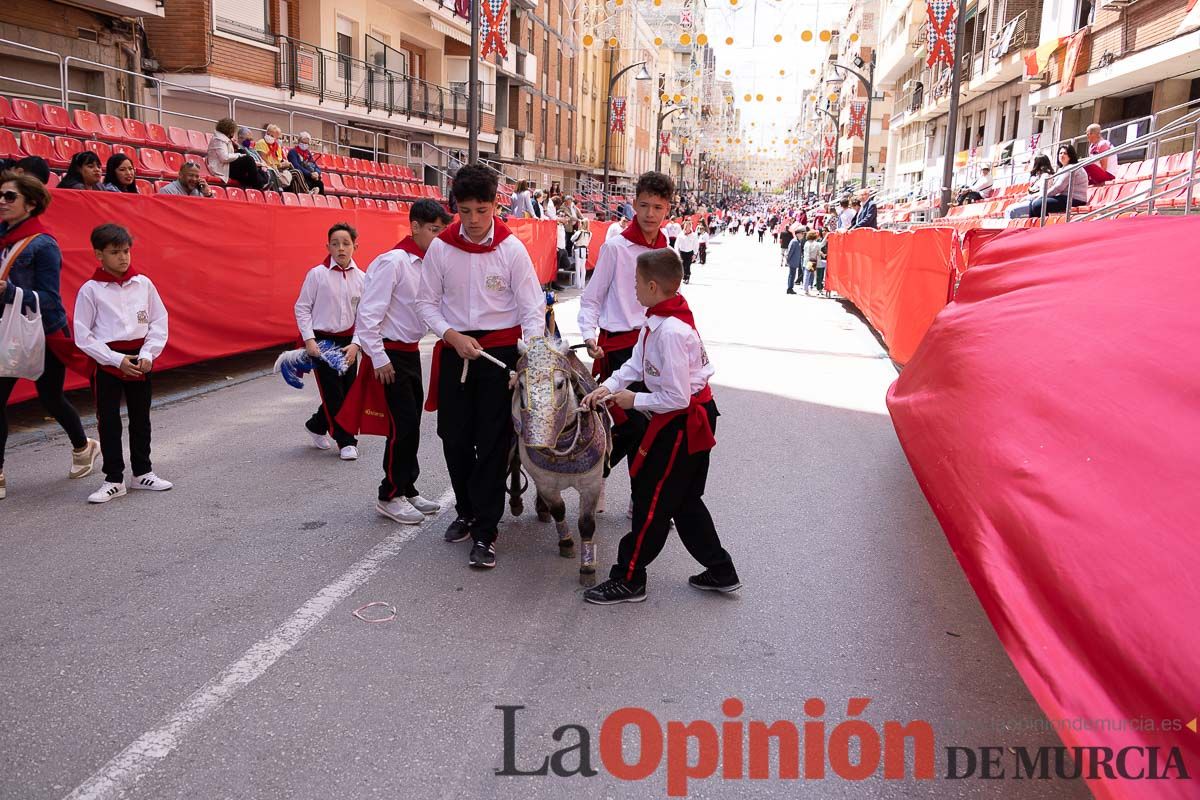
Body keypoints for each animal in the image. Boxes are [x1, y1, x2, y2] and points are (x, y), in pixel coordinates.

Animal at [508, 335, 614, 575]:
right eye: (521, 384)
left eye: (560, 383)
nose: (539, 439)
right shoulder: (546, 482)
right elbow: (558, 509)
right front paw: (566, 542)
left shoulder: (591, 484)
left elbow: (586, 523)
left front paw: (587, 566)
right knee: (515, 463)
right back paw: (518, 500)